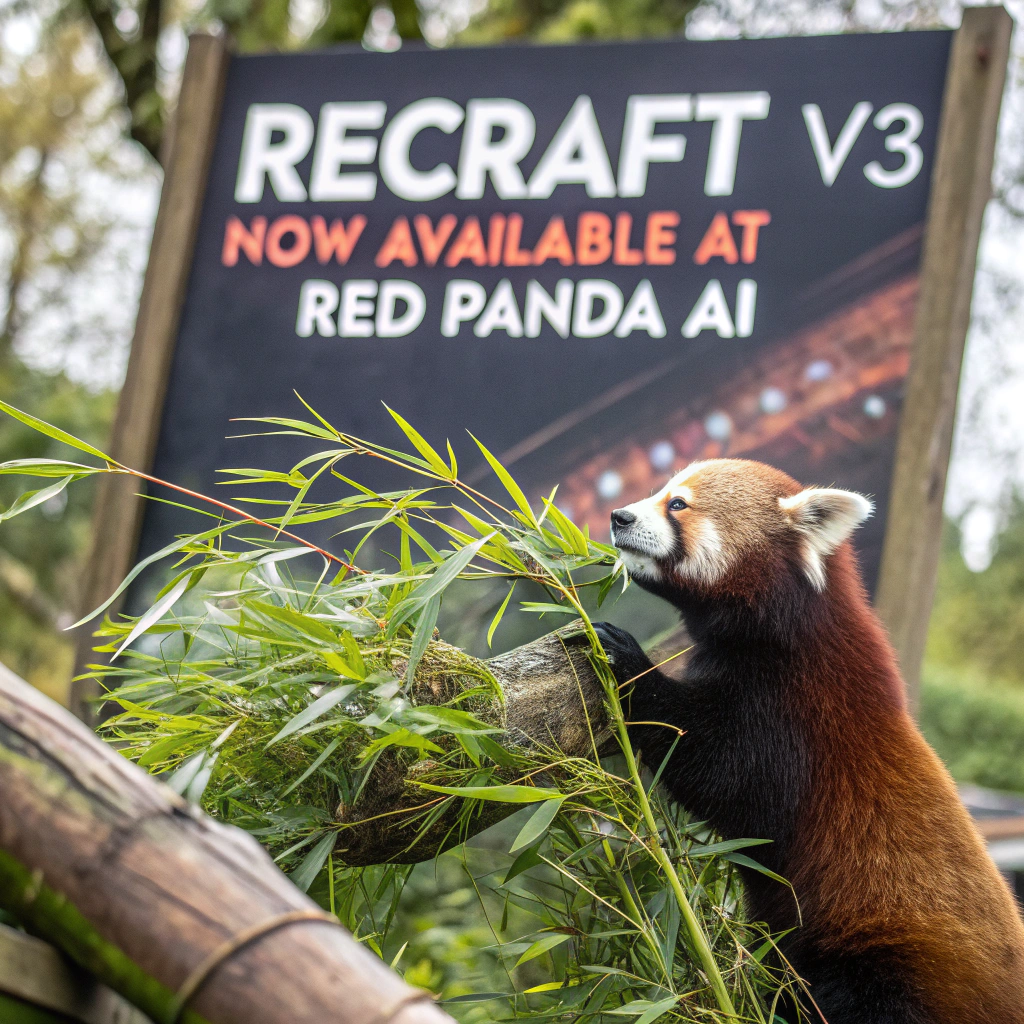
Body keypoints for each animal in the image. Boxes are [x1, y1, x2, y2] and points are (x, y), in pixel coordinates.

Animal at [594, 458, 1024, 1024]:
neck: (784, 627)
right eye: (658, 492)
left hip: (889, 963)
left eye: (678, 504)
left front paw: (626, 661)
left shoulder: (795, 717)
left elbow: (723, 775)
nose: (619, 516)